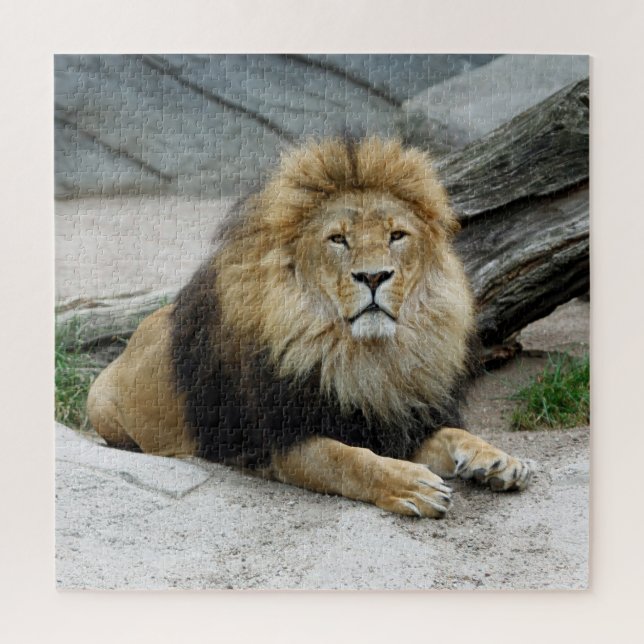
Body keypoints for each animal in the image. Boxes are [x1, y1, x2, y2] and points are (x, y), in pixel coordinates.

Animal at [87, 136, 531, 518]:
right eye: (338, 239)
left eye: (396, 235)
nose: (373, 276)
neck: (366, 356)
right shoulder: (281, 441)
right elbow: (349, 460)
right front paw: (412, 485)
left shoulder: (396, 420)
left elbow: (453, 433)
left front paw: (497, 459)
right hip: (102, 406)